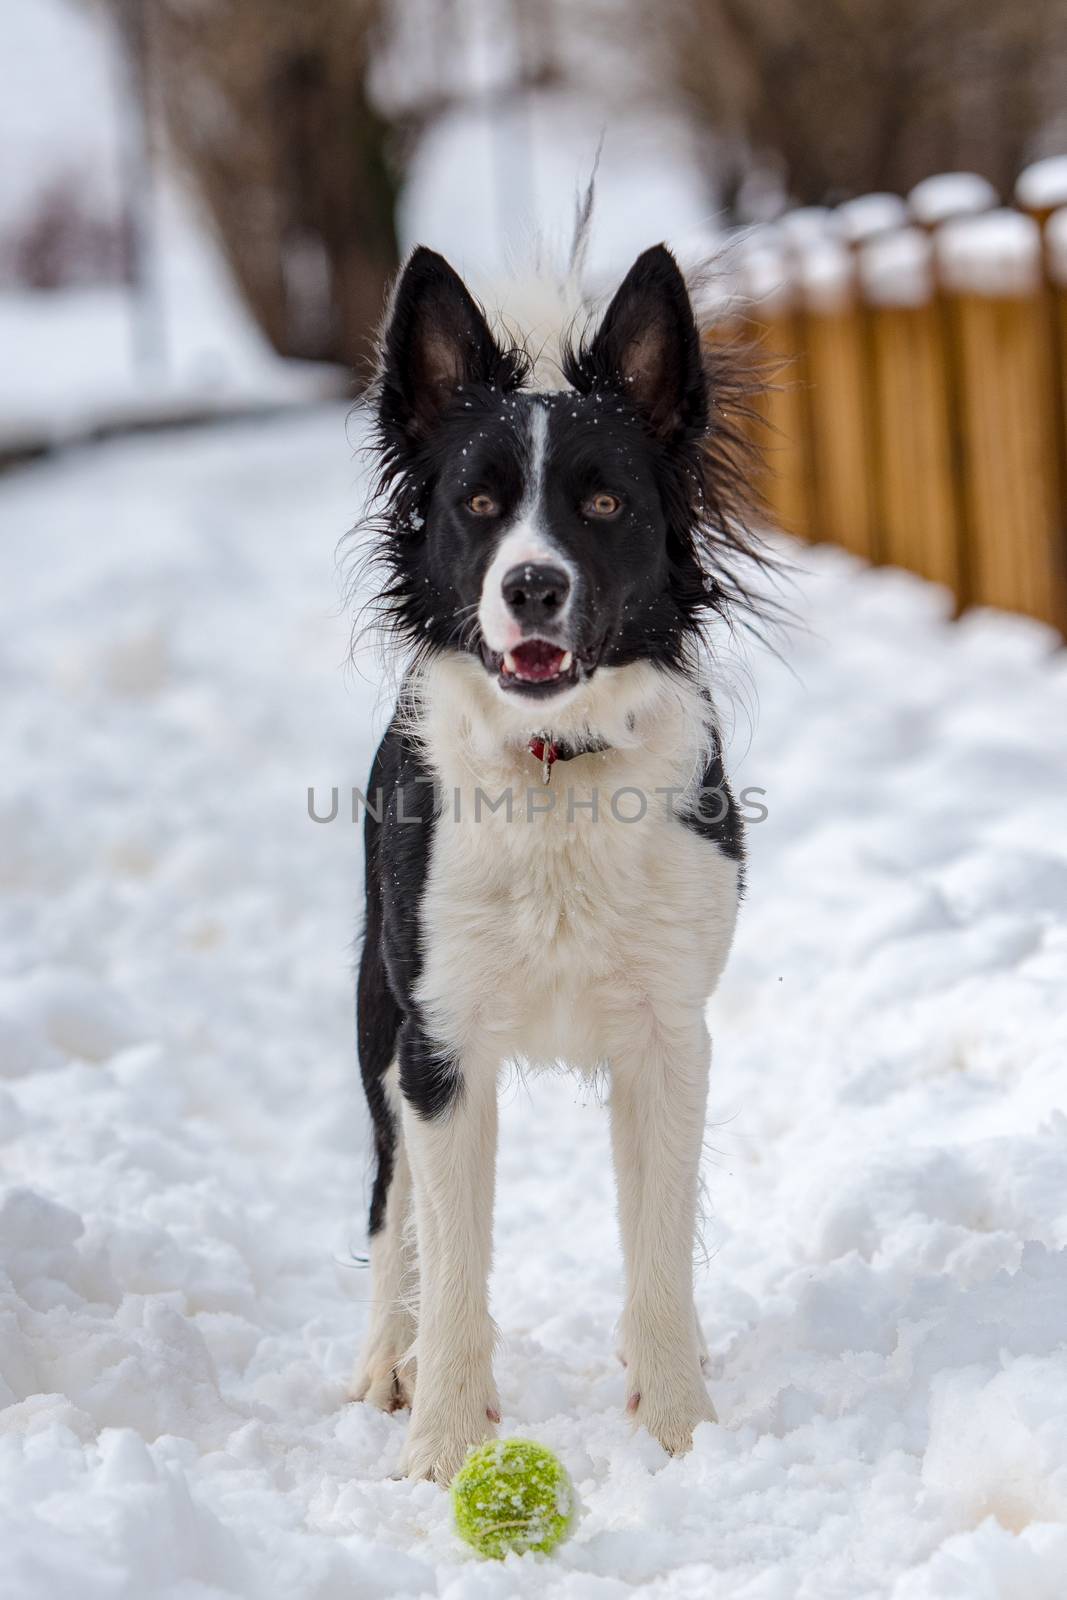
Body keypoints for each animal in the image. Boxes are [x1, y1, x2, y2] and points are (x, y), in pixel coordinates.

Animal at [350, 243, 767, 1478]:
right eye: (479, 505)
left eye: (603, 503)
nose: (531, 585)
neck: (556, 767)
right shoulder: (438, 1043)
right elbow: (452, 1264)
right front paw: (443, 1447)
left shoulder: (668, 1036)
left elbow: (658, 1254)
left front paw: (680, 1432)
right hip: (375, 1018)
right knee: (389, 1205)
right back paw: (383, 1360)